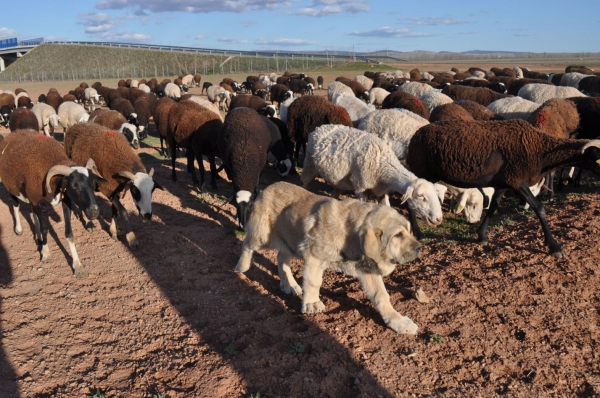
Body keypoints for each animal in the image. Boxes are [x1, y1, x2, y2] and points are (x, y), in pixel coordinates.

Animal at [0, 131, 105, 276]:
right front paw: (46, 254)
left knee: (33, 214)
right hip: (12, 187)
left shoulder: (65, 201)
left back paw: (38, 238)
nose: (94, 211)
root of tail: (14, 134)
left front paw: (78, 266)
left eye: (94, 184)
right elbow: (45, 228)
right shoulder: (36, 201)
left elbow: (69, 233)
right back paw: (19, 230)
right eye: (74, 185)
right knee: (16, 205)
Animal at [302, 124, 442, 238]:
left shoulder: (381, 191)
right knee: (304, 185)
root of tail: (320, 127)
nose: (438, 219)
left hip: (337, 180)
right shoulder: (360, 186)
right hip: (309, 165)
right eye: (421, 196)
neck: (383, 164)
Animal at [406, 118, 600, 256]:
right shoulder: (518, 181)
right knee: (409, 199)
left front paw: (482, 236)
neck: (540, 150)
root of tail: (415, 136)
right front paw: (554, 247)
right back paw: (418, 233)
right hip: (421, 171)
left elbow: (494, 206)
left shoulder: (504, 182)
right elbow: (539, 208)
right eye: (598, 158)